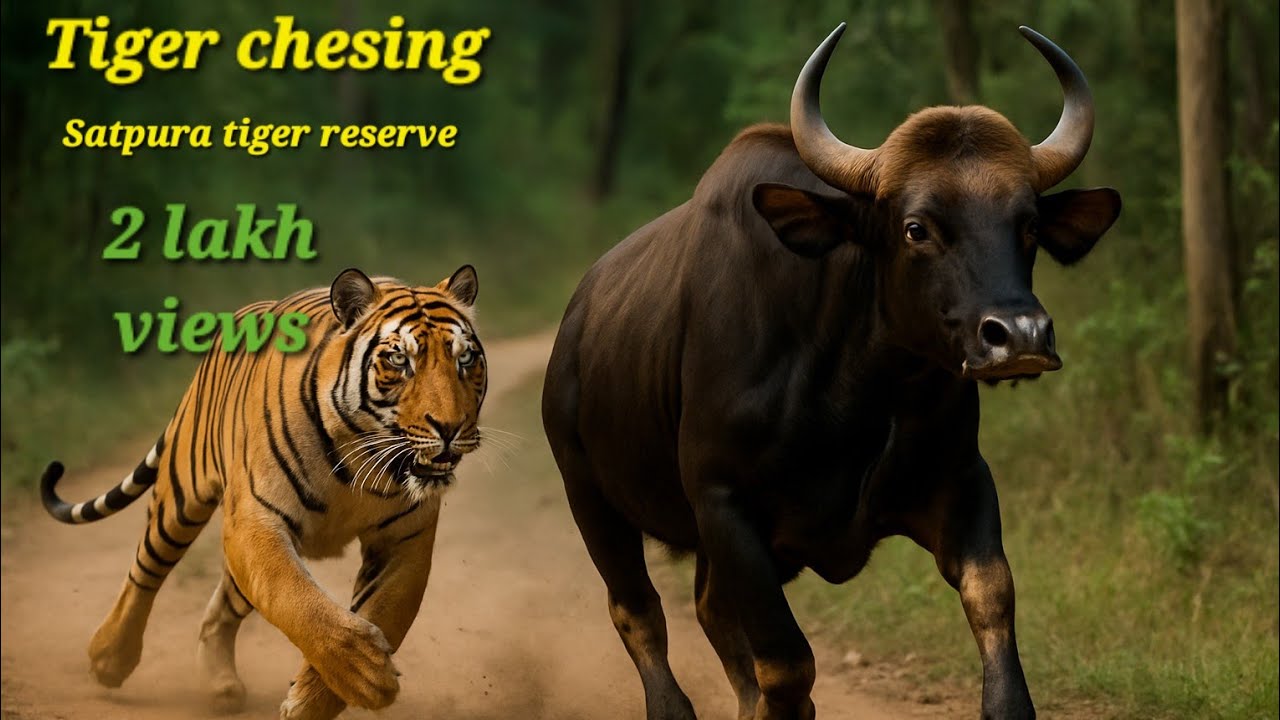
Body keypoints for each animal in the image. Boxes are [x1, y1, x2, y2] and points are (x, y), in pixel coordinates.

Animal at [40, 266, 487, 720]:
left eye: (464, 358)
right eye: (399, 360)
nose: (450, 427)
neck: (361, 455)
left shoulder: (405, 540)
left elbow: (385, 608)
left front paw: (315, 700)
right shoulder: (255, 522)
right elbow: (295, 598)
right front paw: (366, 673)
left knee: (220, 608)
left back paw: (220, 686)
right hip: (180, 498)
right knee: (144, 571)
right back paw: (109, 658)